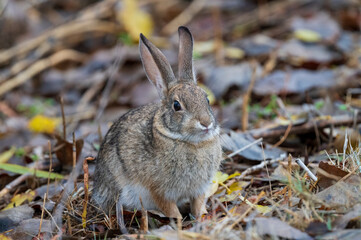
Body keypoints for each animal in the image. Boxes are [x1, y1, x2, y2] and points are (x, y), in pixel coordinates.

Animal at [92, 26, 222, 219]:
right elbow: (170, 208)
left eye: (206, 99)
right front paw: (179, 221)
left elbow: (197, 204)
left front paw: (201, 216)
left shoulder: (198, 189)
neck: (191, 142)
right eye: (177, 106)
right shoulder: (158, 191)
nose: (206, 123)